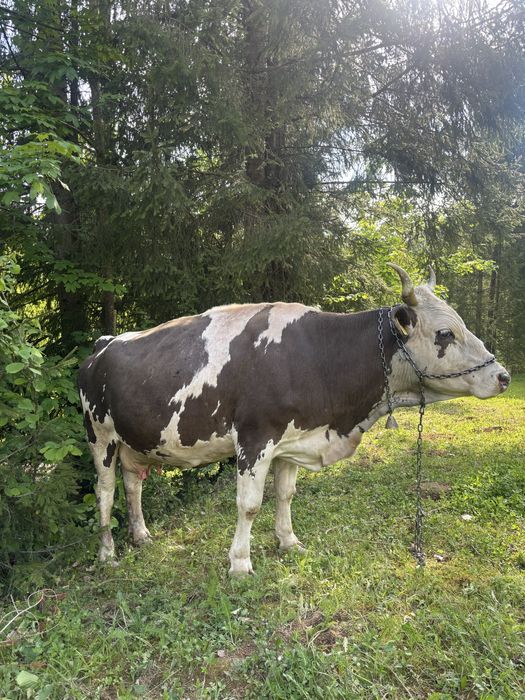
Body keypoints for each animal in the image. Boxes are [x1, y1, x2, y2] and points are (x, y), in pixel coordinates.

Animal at [78, 265, 510, 574]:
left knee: (133, 485)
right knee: (105, 493)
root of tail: (105, 344)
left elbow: (285, 494)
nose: (502, 376)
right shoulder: (255, 439)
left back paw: (142, 536)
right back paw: (107, 554)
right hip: (100, 436)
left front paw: (288, 542)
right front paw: (240, 563)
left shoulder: (293, 439)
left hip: (136, 442)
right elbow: (249, 504)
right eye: (445, 333)